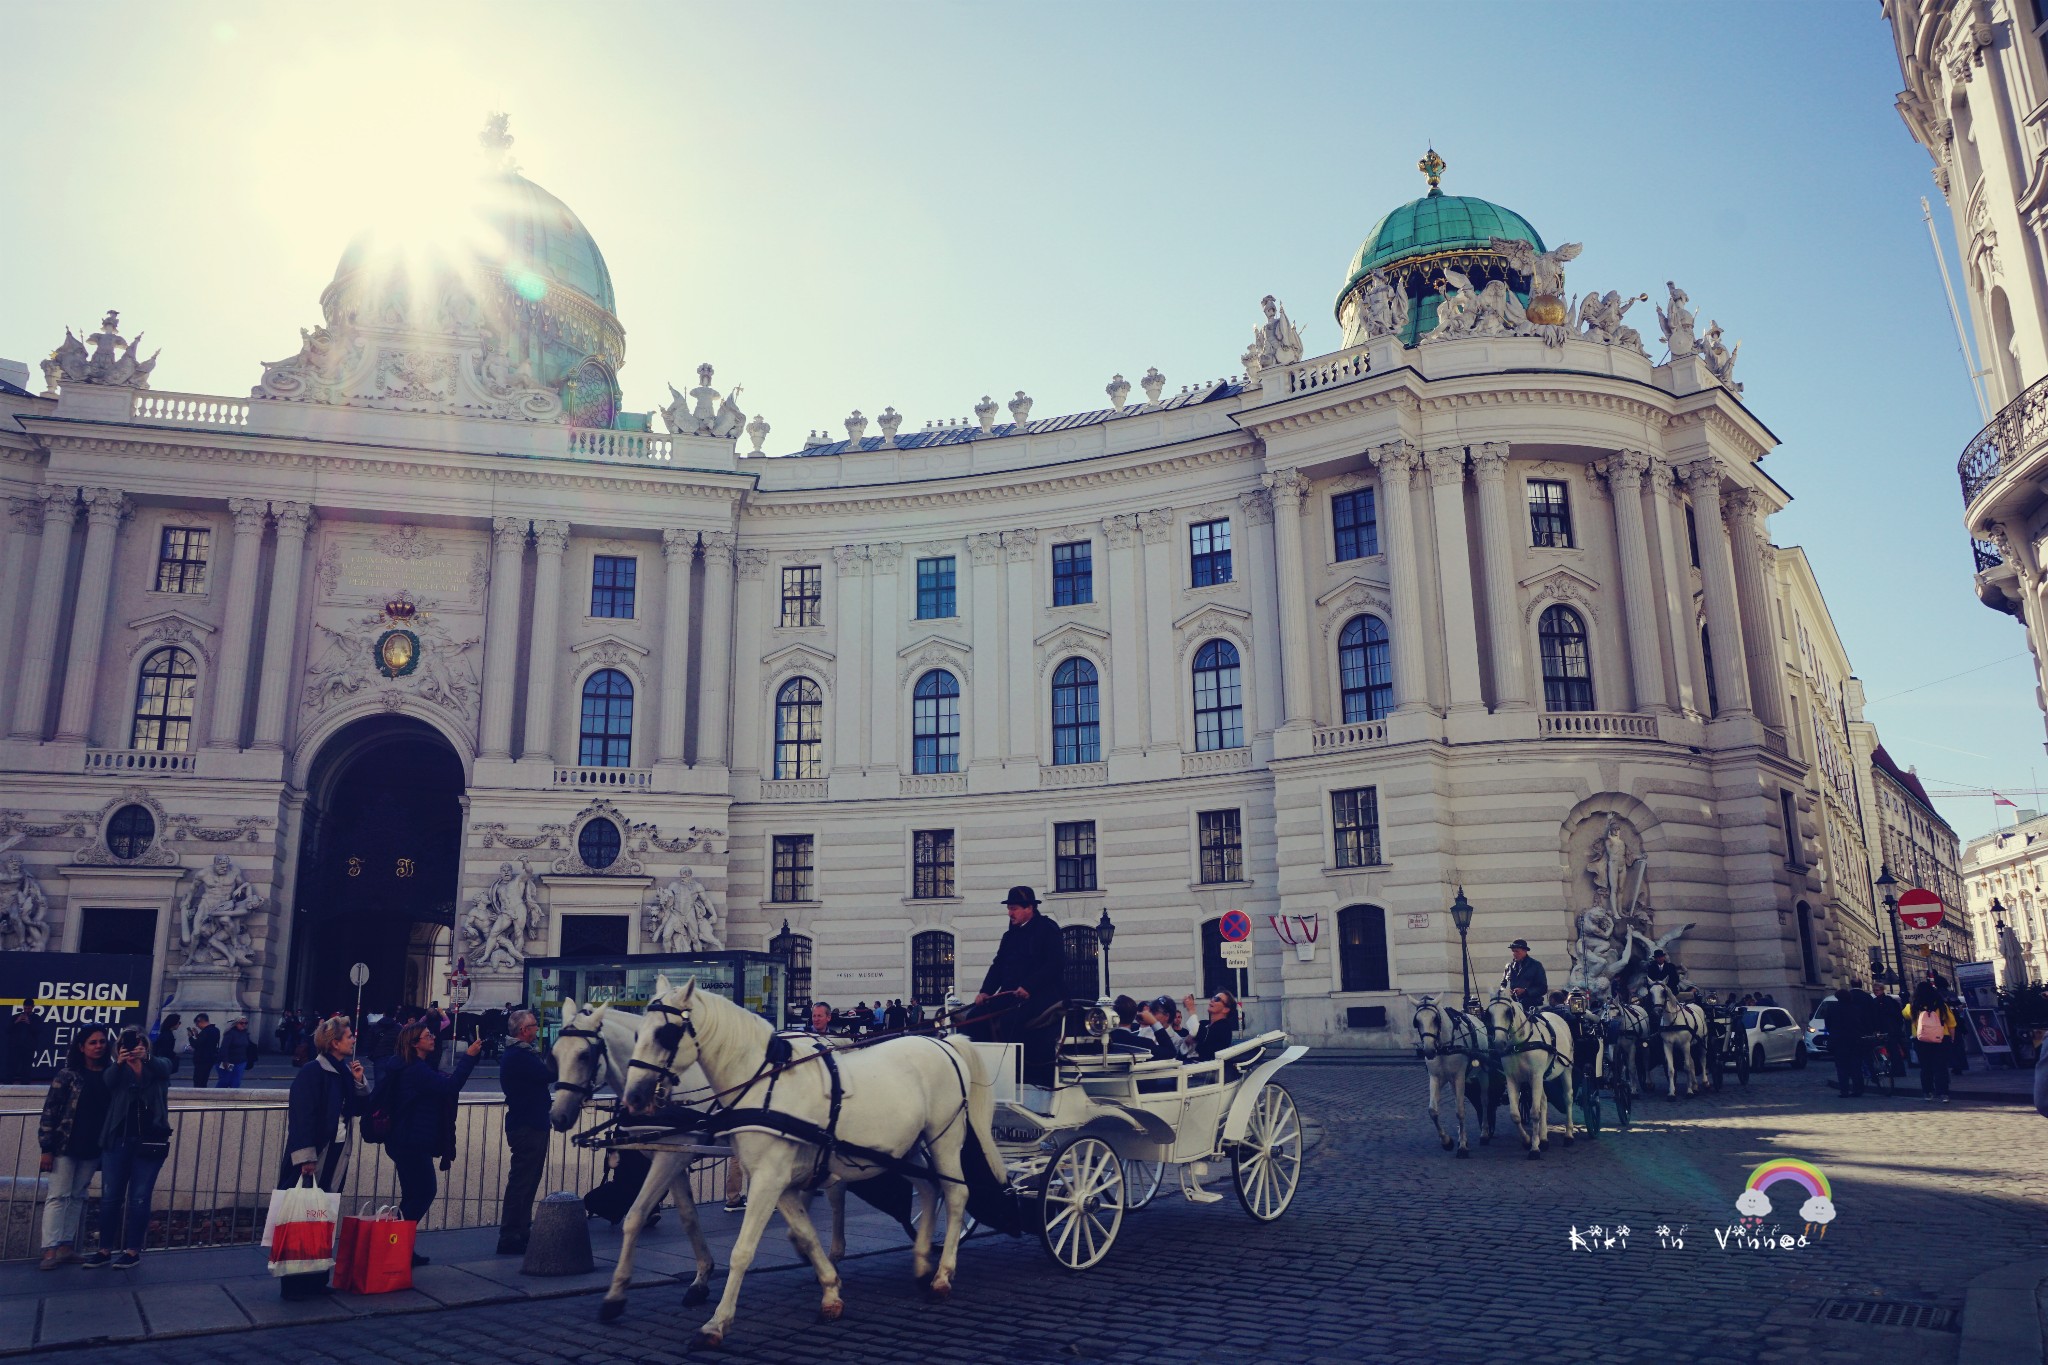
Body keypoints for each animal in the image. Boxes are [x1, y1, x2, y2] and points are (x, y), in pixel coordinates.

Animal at [622, 978, 1007, 1350]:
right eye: (638, 1034)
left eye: (666, 1034)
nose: (633, 1098)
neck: (764, 1084)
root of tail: (944, 1043)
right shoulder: (778, 1182)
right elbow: (805, 1234)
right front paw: (831, 1291)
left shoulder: (768, 1179)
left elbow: (742, 1250)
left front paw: (716, 1324)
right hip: (906, 1148)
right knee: (929, 1190)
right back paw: (922, 1261)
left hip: (945, 1138)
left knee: (955, 1195)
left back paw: (942, 1275)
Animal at [1409, 998, 1490, 1162]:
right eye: (1417, 1021)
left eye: (1435, 1019)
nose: (1428, 1050)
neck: (1444, 1048)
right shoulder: (1435, 1078)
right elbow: (1433, 1111)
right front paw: (1448, 1142)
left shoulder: (1459, 1077)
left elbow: (1460, 1111)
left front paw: (1463, 1148)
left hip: (1482, 1073)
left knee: (1484, 1101)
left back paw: (1484, 1133)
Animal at [1482, 994, 1572, 1154]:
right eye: (1489, 1014)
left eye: (1508, 1012)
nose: (1499, 1043)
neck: (1520, 1044)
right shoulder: (1512, 1079)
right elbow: (1515, 1115)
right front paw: (1527, 1141)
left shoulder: (1535, 1076)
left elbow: (1535, 1113)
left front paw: (1534, 1148)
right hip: (1541, 1078)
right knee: (1543, 1101)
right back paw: (1544, 1138)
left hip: (1566, 1070)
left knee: (1568, 1098)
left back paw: (1568, 1135)